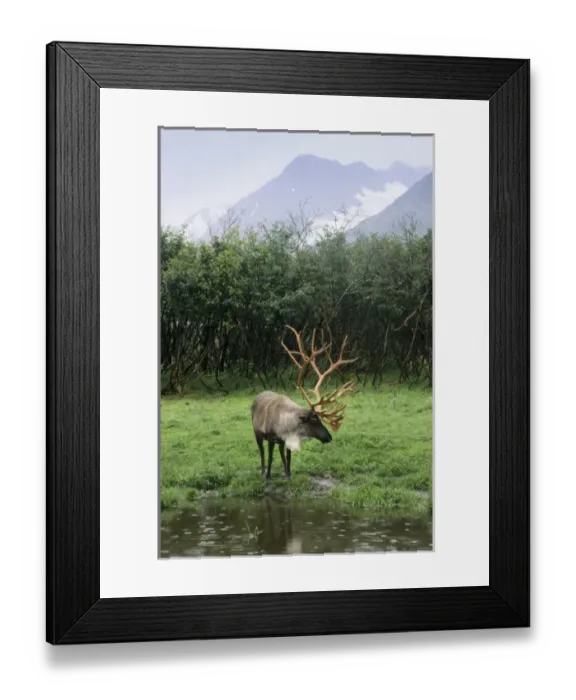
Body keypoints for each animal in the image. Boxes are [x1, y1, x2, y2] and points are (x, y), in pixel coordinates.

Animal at [251, 326, 358, 480]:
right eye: (314, 421)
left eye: (320, 420)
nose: (329, 437)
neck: (286, 427)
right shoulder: (271, 437)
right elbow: (270, 457)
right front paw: (268, 476)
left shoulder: (285, 439)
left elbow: (288, 457)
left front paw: (288, 474)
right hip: (256, 432)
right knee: (262, 451)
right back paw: (263, 470)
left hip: (278, 441)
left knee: (281, 451)